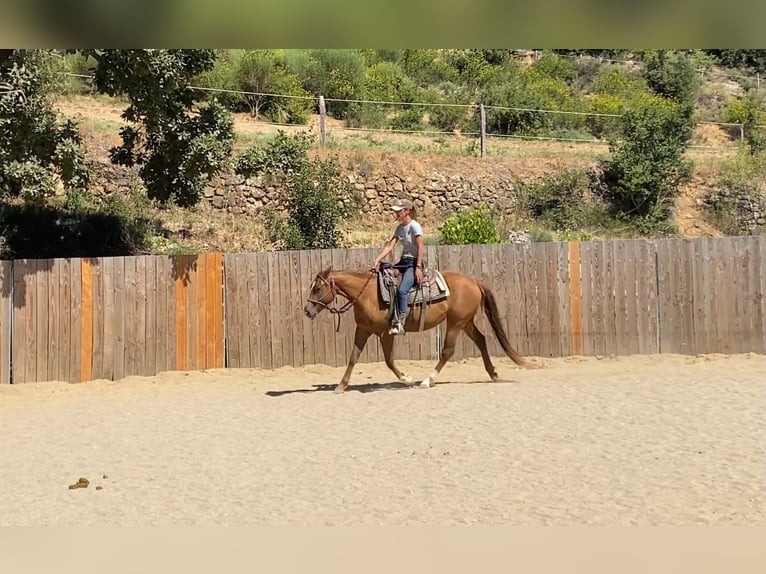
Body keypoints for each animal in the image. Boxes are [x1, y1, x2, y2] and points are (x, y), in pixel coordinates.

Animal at [302, 264, 529, 393]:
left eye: (318, 288)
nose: (307, 310)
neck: (368, 294)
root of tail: (474, 281)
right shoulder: (363, 330)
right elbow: (353, 357)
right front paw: (341, 385)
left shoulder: (386, 333)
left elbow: (389, 360)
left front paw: (407, 379)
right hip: (465, 322)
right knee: (481, 340)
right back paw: (493, 374)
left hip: (455, 323)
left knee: (447, 351)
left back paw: (427, 381)